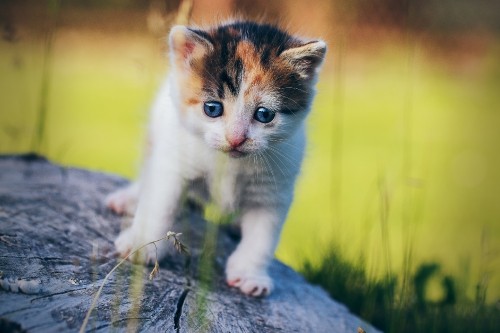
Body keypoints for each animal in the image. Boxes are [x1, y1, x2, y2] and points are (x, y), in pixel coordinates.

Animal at [106, 21, 326, 296]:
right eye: (212, 109)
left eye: (264, 114)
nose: (236, 138)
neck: (231, 163)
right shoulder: (174, 163)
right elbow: (159, 204)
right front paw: (141, 243)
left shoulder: (274, 187)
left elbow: (262, 236)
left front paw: (249, 274)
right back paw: (129, 198)